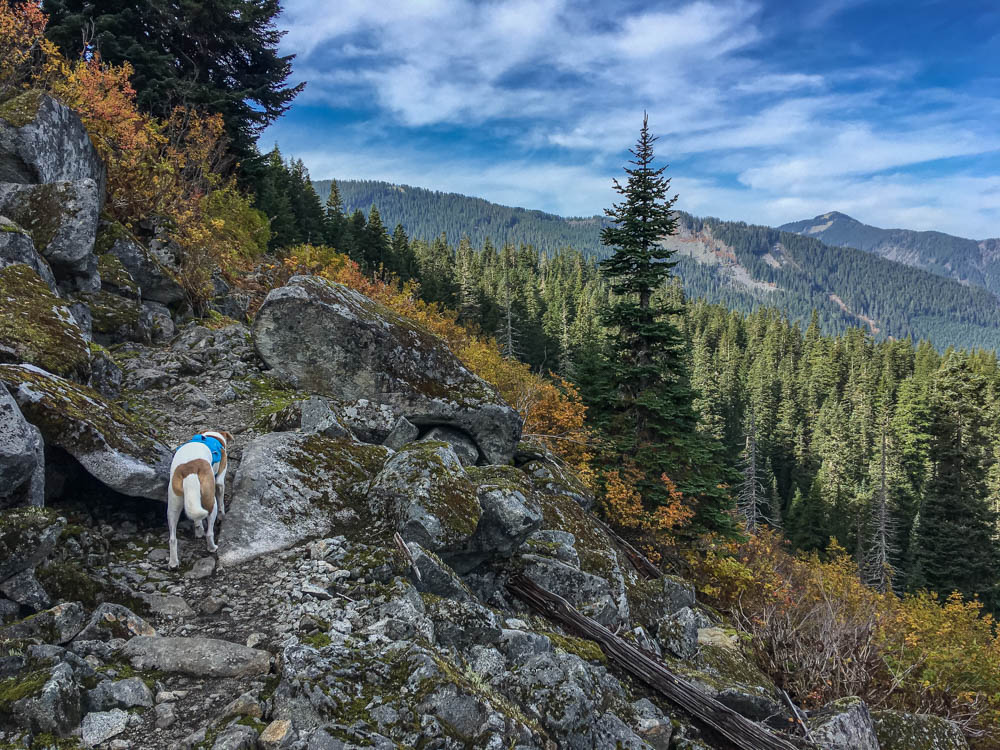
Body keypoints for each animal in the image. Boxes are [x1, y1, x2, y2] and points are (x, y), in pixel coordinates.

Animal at [170, 428, 236, 568]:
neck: (212, 436)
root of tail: (189, 470)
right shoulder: (220, 480)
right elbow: (221, 501)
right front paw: (222, 516)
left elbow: (197, 520)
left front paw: (198, 530)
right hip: (210, 501)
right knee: (210, 532)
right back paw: (212, 547)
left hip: (173, 505)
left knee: (172, 538)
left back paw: (173, 563)